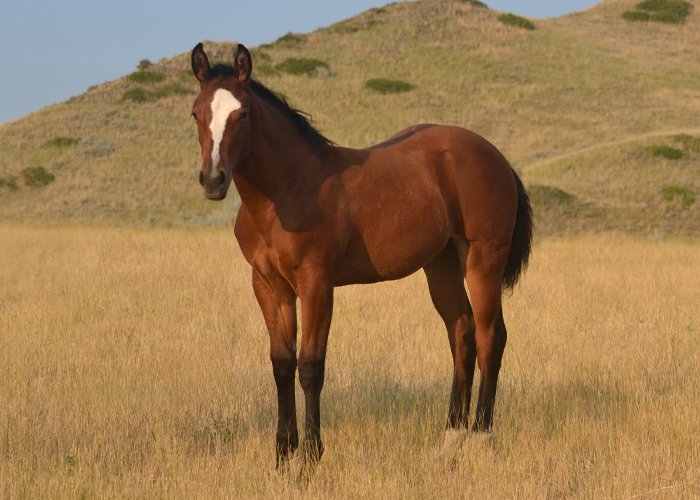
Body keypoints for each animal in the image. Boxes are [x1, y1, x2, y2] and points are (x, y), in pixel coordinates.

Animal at [190, 42, 532, 464]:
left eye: (243, 113)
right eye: (196, 112)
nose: (213, 180)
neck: (287, 191)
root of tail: (495, 155)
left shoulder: (317, 285)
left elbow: (310, 366)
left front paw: (311, 455)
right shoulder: (269, 287)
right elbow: (282, 364)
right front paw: (283, 453)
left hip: (483, 261)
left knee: (489, 336)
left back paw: (482, 437)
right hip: (442, 265)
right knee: (462, 333)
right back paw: (451, 437)